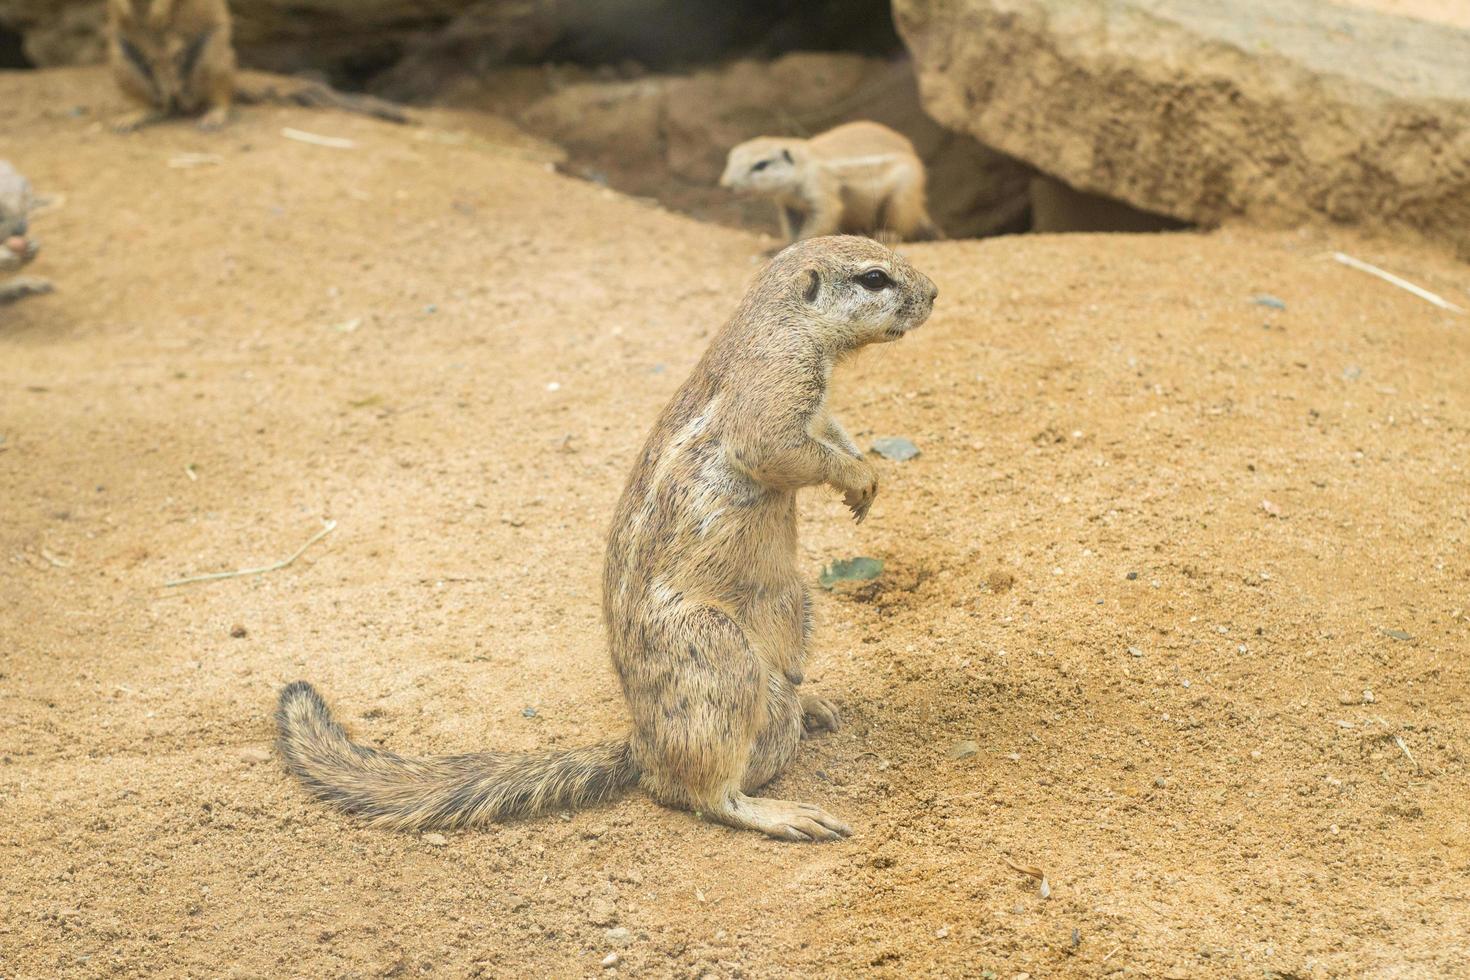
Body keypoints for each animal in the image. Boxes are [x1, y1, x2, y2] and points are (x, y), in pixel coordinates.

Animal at [277, 235, 940, 846]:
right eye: (875, 277)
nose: (934, 293)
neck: (783, 322)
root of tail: (641, 745)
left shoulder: (821, 408)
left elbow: (834, 433)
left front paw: (866, 480)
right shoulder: (775, 385)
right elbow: (776, 447)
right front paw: (857, 478)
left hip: (797, 601)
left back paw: (811, 703)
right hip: (715, 657)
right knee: (700, 791)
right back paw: (779, 812)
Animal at [720, 120, 940, 246]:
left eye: (761, 165)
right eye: (730, 157)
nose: (726, 185)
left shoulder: (821, 188)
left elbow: (823, 218)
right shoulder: (788, 206)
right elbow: (791, 228)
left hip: (903, 195)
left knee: (903, 225)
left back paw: (886, 234)